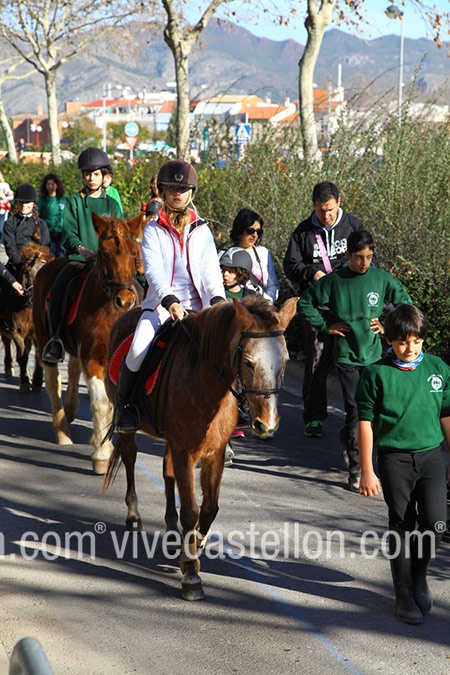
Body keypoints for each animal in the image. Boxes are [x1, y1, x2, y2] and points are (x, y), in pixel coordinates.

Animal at [0, 242, 54, 393]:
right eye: (25, 272)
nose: (34, 297)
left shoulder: (38, 333)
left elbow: (37, 355)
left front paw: (36, 381)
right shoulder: (17, 333)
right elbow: (23, 356)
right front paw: (24, 382)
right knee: (7, 341)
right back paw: (9, 366)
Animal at [32, 212, 146, 475]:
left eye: (134, 251)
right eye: (104, 253)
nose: (125, 300)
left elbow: (113, 403)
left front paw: (102, 440)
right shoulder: (94, 357)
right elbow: (101, 403)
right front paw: (101, 456)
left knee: (73, 370)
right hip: (44, 340)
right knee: (53, 382)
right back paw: (62, 431)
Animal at [103, 294, 298, 601]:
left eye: (286, 361)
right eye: (248, 362)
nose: (265, 425)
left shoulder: (213, 453)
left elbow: (209, 508)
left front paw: (196, 543)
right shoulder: (185, 451)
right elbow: (191, 511)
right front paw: (191, 574)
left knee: (167, 472)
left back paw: (172, 532)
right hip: (130, 427)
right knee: (131, 458)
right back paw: (134, 515)